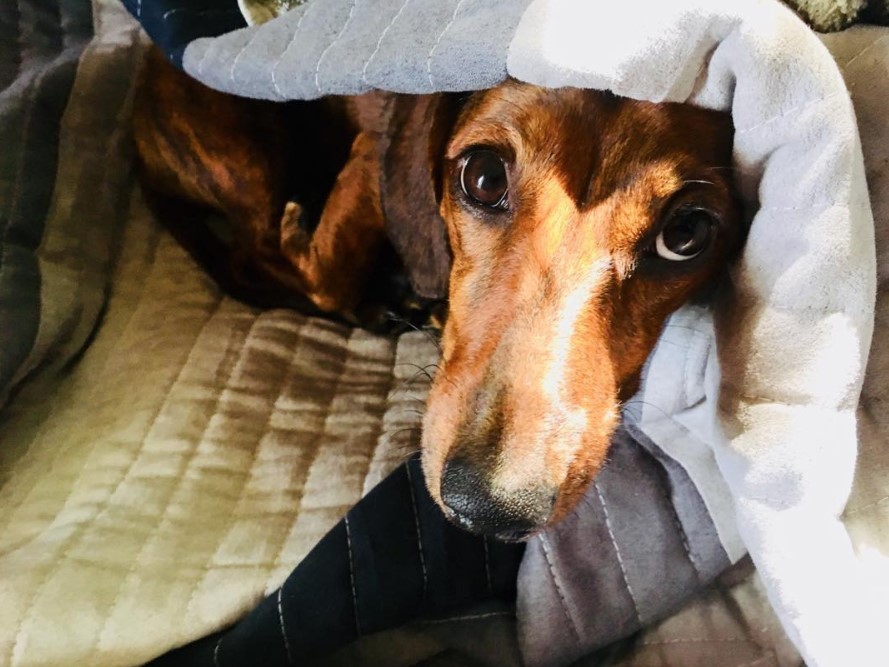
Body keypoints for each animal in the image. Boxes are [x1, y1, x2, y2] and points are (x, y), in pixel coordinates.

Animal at [132, 48, 744, 548]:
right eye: (483, 177)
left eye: (686, 233)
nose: (490, 510)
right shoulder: (365, 159)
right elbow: (326, 279)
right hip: (248, 152)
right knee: (259, 252)